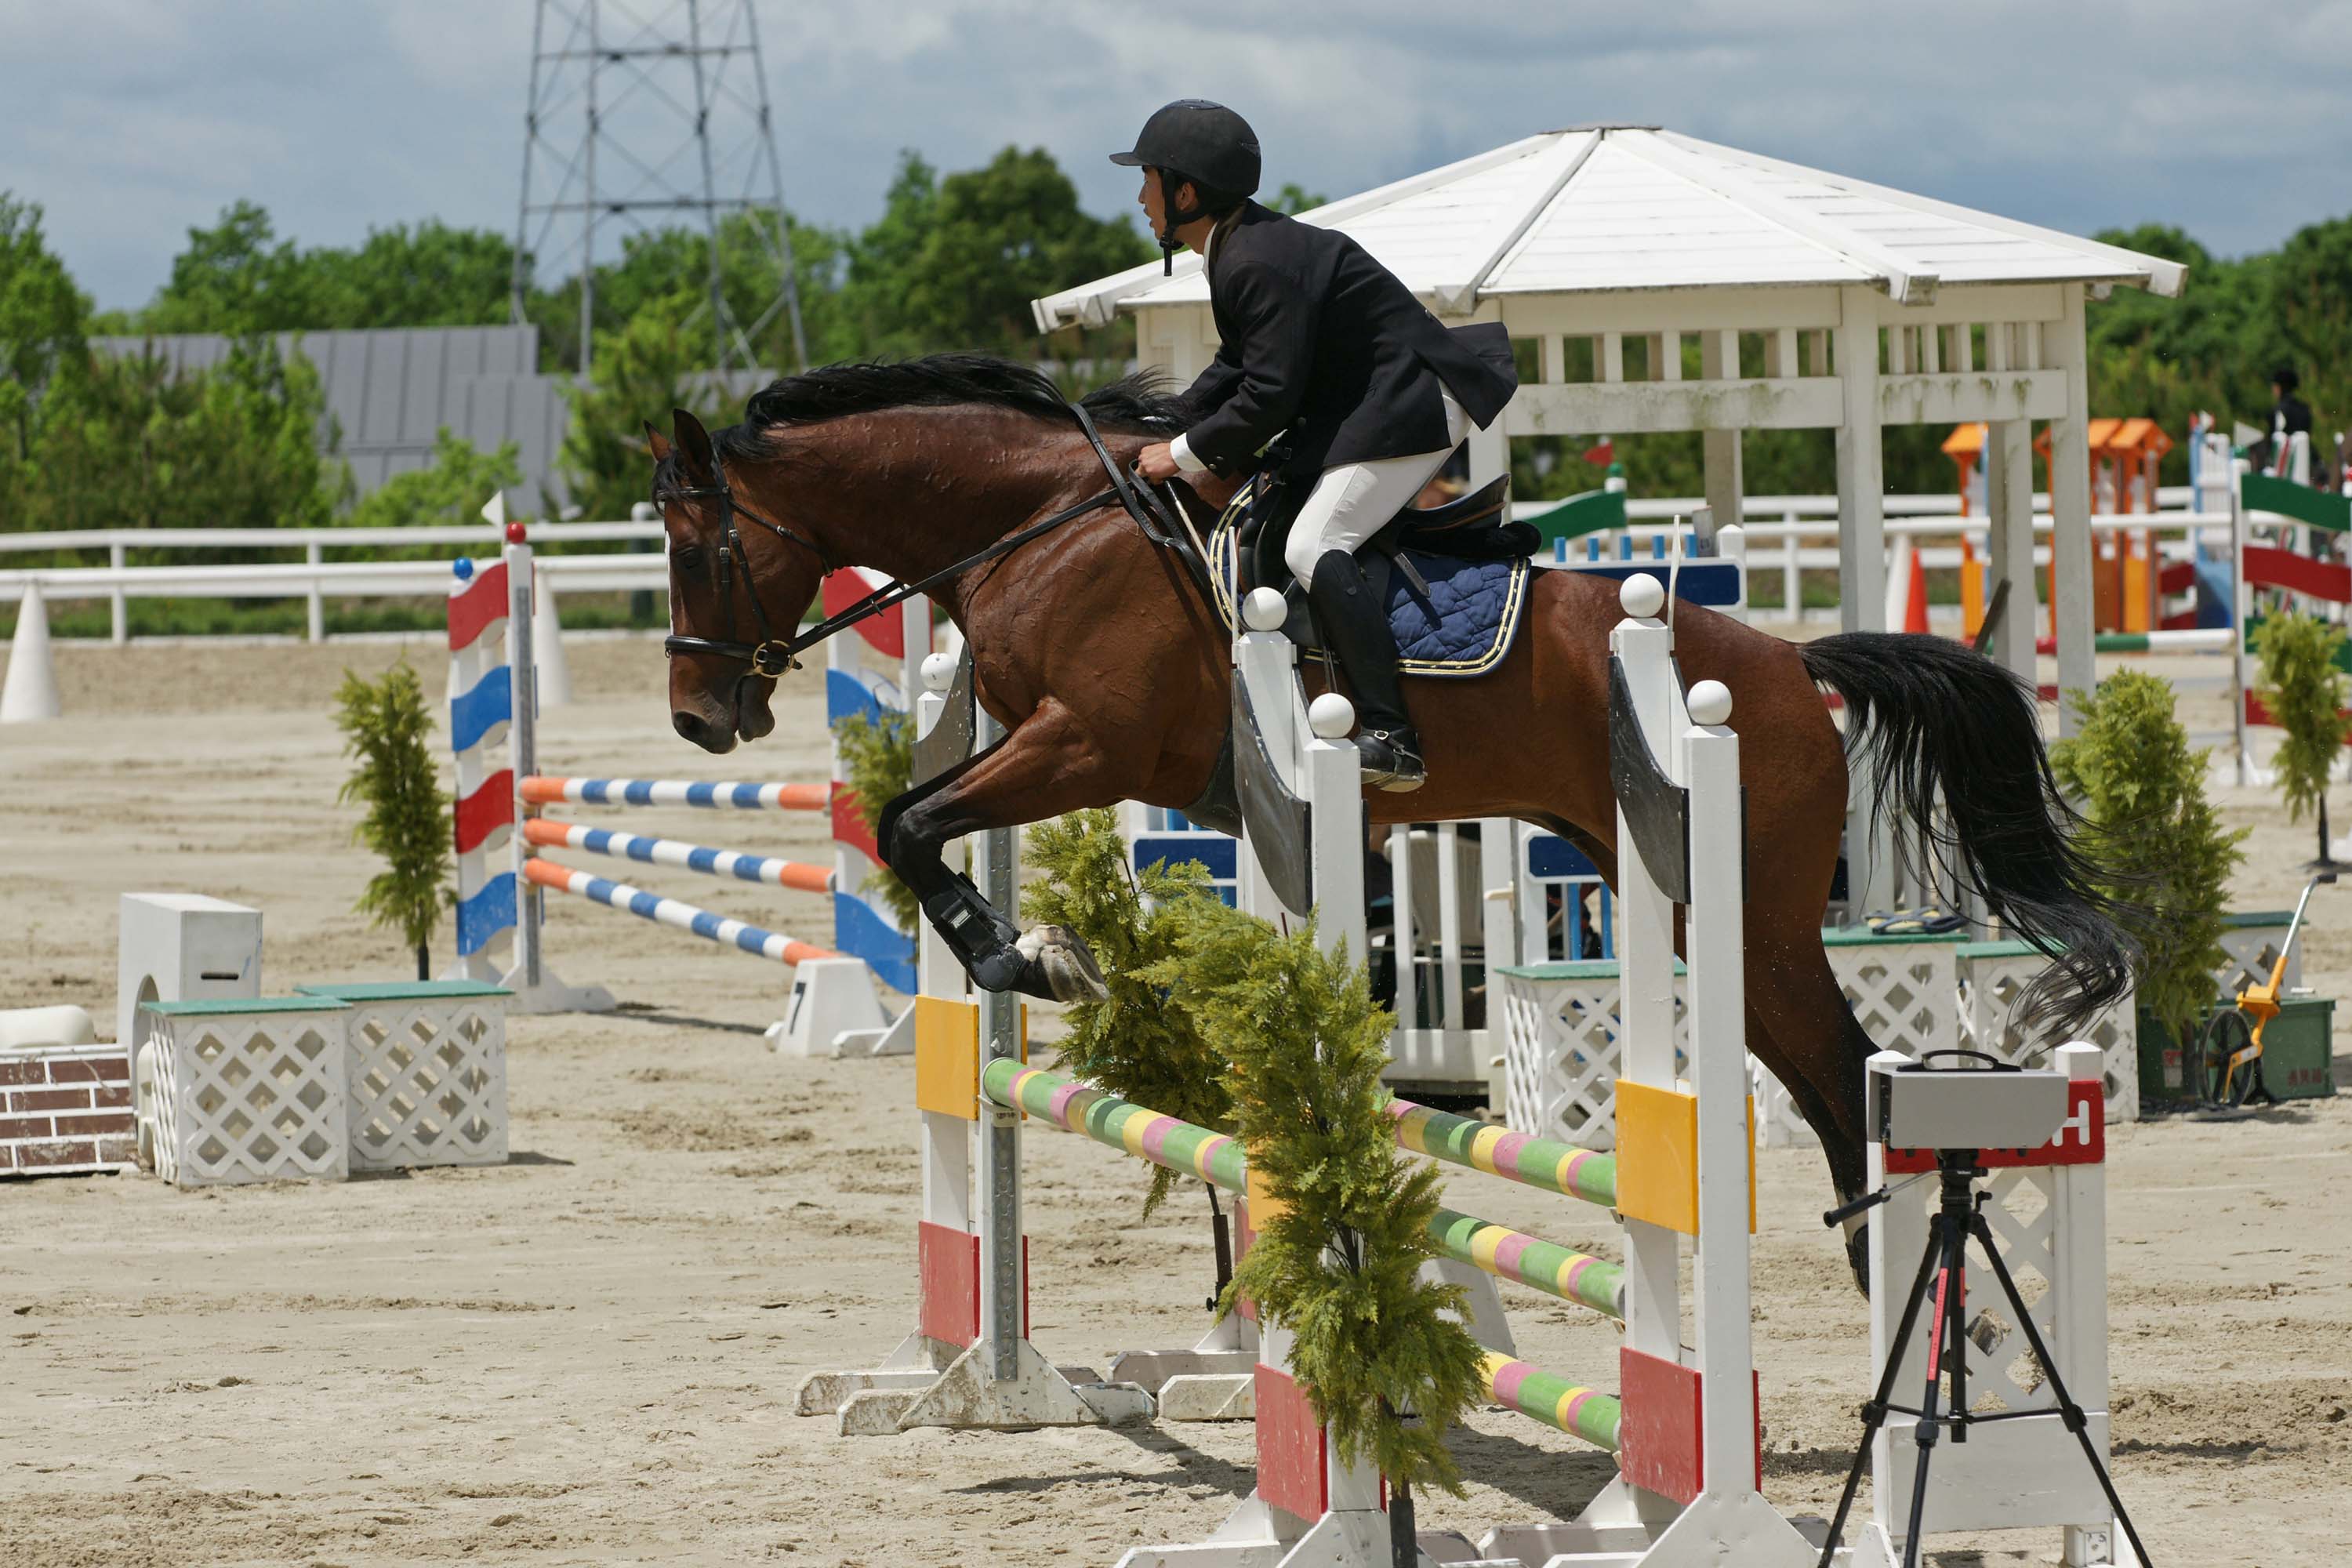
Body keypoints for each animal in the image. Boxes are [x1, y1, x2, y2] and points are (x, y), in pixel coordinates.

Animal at [640, 352, 2136, 1241]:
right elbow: (924, 818)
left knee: (1841, 1073)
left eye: (700, 550)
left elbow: (910, 825)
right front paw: (1050, 954)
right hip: (1687, 898)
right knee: (1831, 1081)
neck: (1040, 528)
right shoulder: (1069, 753)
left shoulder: (1086, 745)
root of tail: (1785, 660)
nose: (699, 718)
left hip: (1745, 912)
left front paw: (1033, 958)